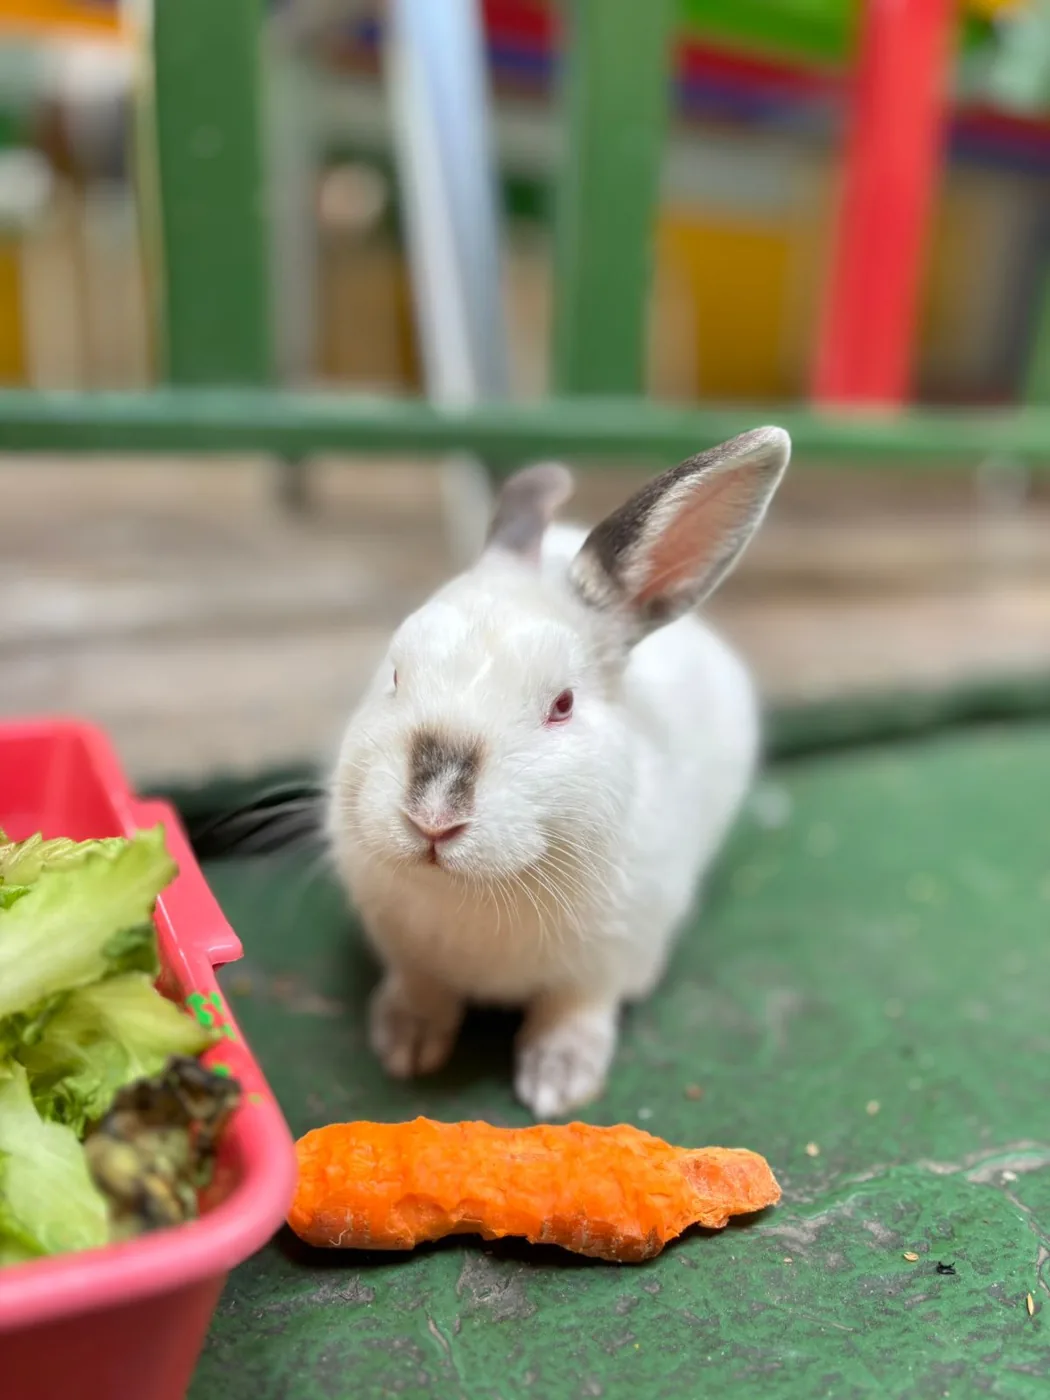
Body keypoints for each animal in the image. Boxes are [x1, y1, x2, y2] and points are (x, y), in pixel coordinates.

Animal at [328, 426, 791, 1118]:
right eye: (395, 673)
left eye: (563, 704)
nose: (432, 816)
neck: (475, 893)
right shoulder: (408, 954)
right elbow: (422, 987)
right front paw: (404, 1045)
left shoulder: (604, 962)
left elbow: (572, 1013)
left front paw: (557, 1085)